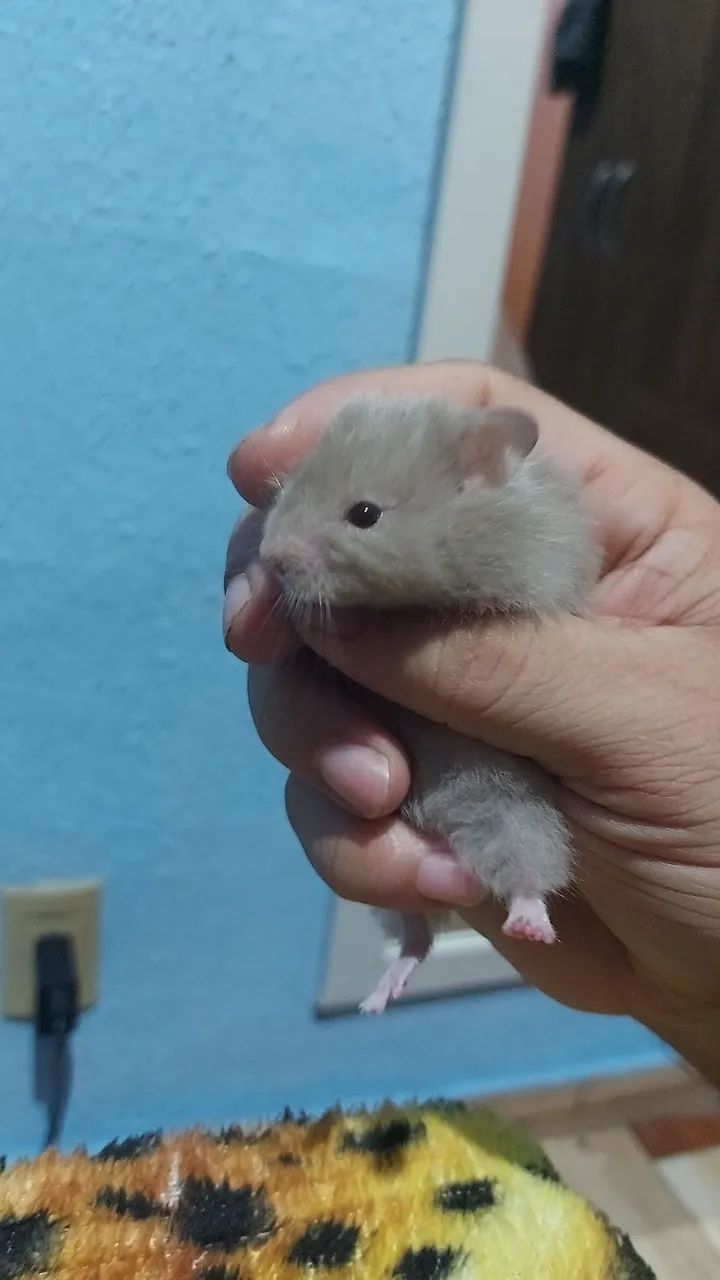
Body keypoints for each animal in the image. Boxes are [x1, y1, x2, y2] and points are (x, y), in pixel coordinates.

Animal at [259, 393, 599, 1013]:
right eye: (291, 484)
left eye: (365, 513)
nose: (271, 558)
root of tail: (444, 832)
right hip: (396, 894)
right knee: (415, 934)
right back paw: (379, 997)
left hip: (516, 814)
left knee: (528, 872)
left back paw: (528, 924)